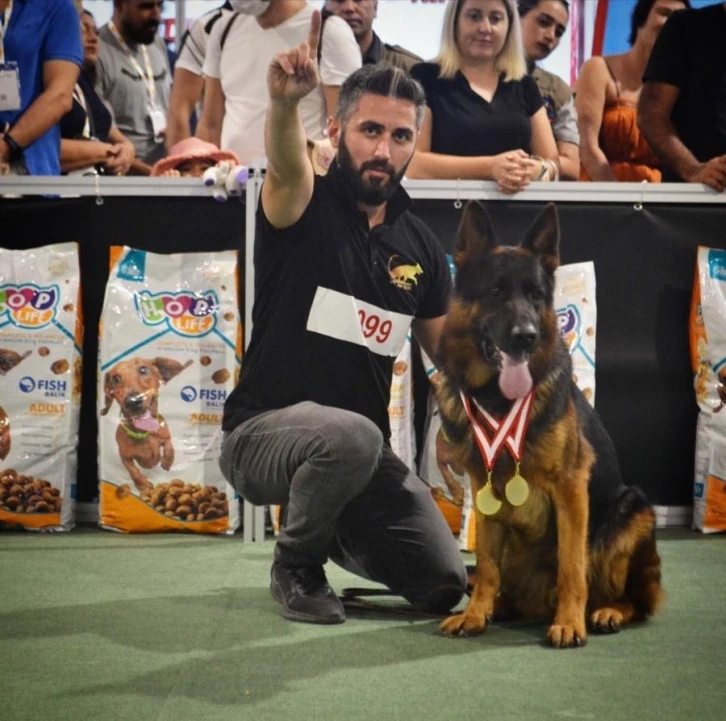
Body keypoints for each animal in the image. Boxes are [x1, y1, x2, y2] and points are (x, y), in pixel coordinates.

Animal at [438, 201, 664, 648]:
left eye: (536, 296)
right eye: (495, 292)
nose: (525, 336)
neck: (500, 402)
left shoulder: (571, 488)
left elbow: (571, 566)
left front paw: (570, 622)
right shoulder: (484, 490)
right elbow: (485, 566)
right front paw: (474, 614)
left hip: (633, 512)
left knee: (633, 598)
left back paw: (606, 612)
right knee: (503, 581)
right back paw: (499, 607)